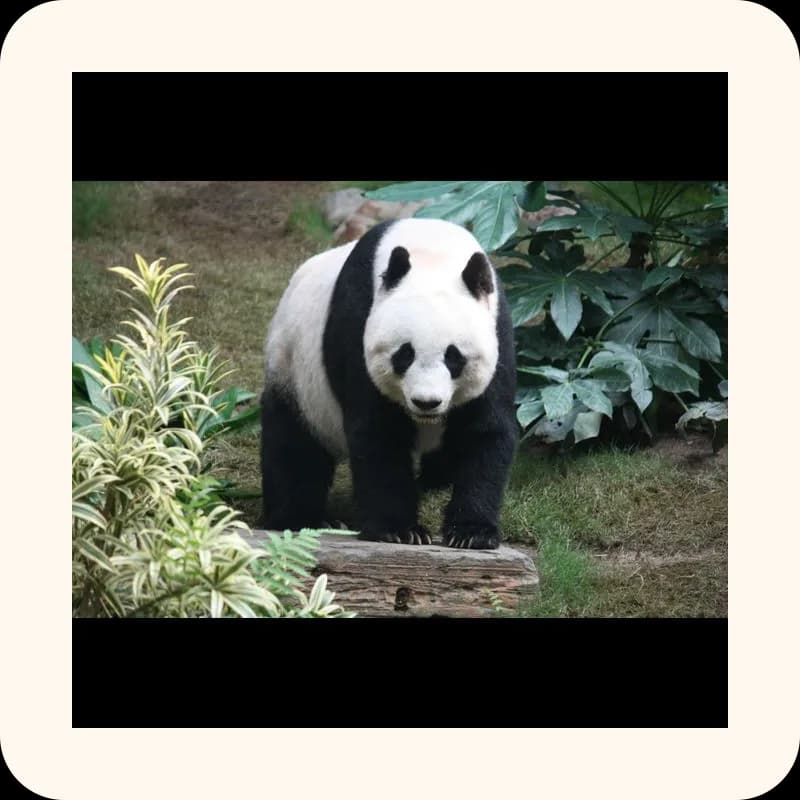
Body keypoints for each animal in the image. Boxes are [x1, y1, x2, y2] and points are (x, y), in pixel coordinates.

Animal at [260, 217, 519, 549]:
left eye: (454, 357)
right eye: (404, 354)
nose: (426, 402)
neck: (432, 253)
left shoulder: (498, 331)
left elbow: (484, 431)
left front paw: (472, 533)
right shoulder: (358, 321)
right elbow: (379, 431)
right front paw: (400, 530)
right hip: (294, 371)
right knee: (294, 446)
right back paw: (303, 518)